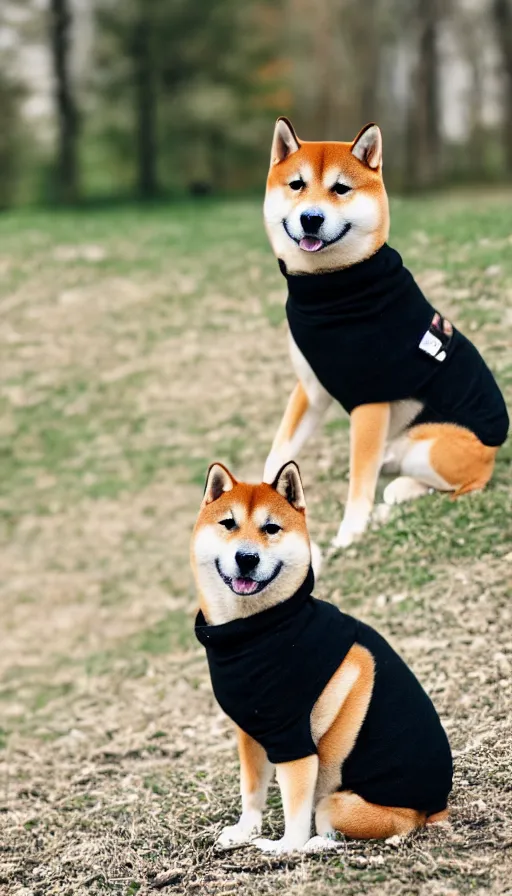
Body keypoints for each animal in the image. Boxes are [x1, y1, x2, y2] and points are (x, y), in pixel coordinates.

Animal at [192, 462, 452, 856]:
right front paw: (244, 831)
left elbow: (295, 810)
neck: (257, 629)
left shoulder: (293, 741)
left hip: (337, 803)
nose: (247, 558)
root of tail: (432, 808)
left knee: (351, 830)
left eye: (271, 528)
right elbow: (251, 791)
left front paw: (285, 847)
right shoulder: (249, 731)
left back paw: (315, 844)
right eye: (228, 524)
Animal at [262, 117, 510, 544]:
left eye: (341, 188)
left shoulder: (370, 403)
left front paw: (351, 532)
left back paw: (392, 503)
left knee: (466, 484)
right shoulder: (311, 388)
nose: (311, 218)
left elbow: (359, 481)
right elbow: (278, 449)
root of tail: (494, 449)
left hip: (429, 447)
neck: (332, 287)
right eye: (296, 185)